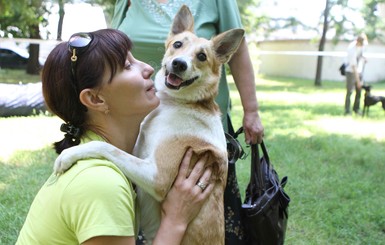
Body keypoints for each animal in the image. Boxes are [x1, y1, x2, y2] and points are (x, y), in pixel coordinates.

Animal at [53, 5, 244, 245]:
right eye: (178, 44)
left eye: (202, 56)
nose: (179, 63)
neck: (174, 104)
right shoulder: (137, 148)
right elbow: (114, 148)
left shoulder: (157, 177)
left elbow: (106, 147)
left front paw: (68, 155)